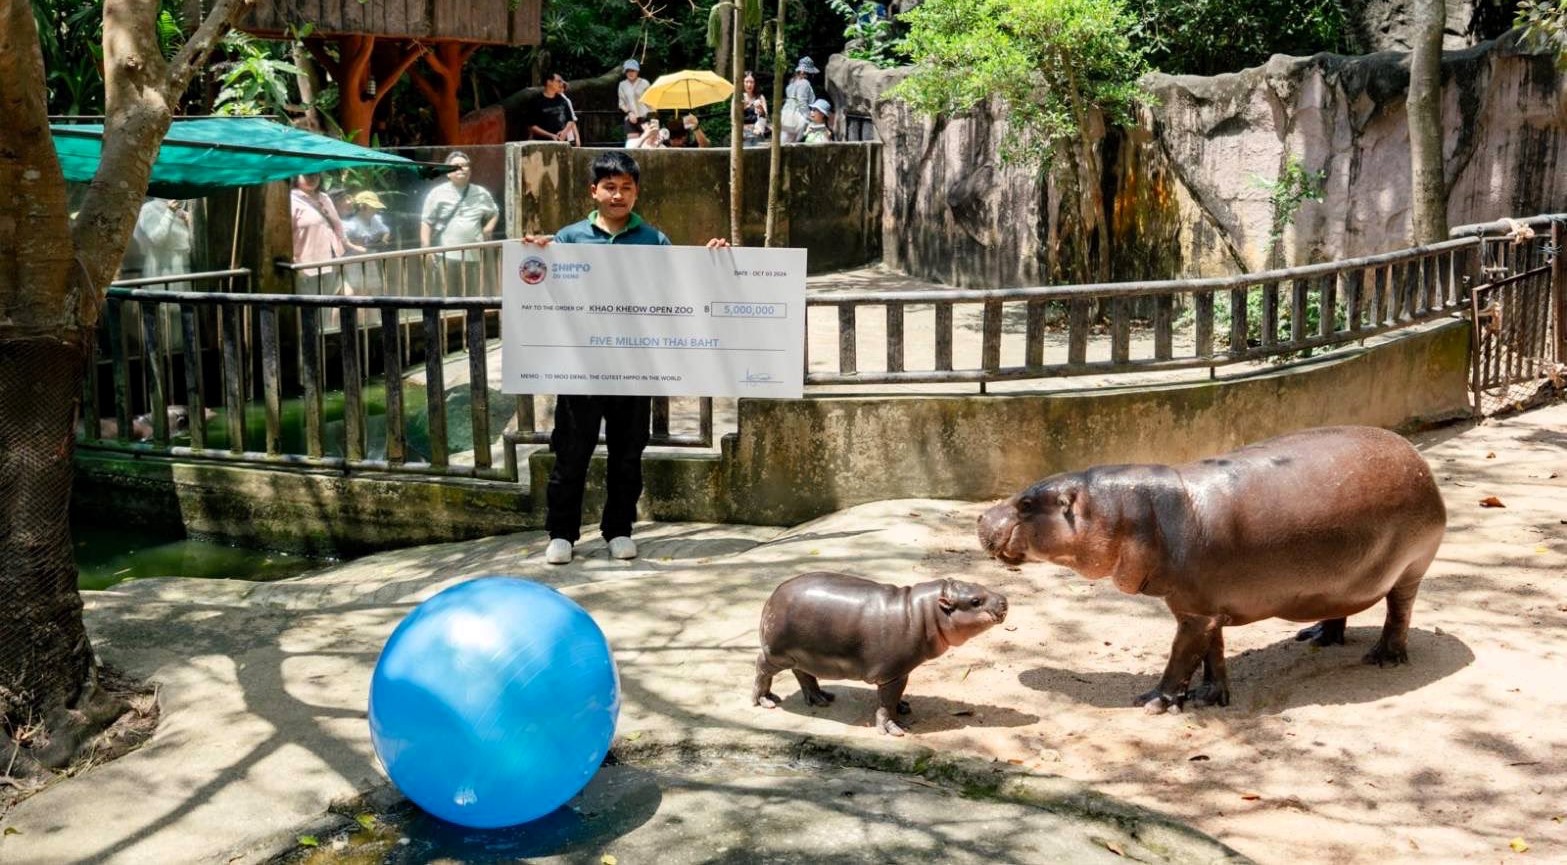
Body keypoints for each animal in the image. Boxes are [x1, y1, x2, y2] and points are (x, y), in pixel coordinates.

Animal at [752, 570, 1009, 733]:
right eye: (975, 601)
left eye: (980, 586)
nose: (1005, 600)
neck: (923, 613)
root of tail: (772, 596)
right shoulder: (892, 674)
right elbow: (886, 702)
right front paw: (894, 728)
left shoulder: (901, 672)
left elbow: (894, 698)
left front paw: (904, 707)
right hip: (776, 654)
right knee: (762, 667)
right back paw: (766, 701)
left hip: (803, 655)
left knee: (803, 673)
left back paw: (821, 699)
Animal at [977, 423, 1441, 711]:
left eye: (1026, 503)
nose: (980, 517)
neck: (1128, 513)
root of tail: (1416, 458)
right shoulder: (1205, 605)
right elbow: (1211, 655)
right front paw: (1208, 696)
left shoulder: (1196, 612)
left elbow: (1181, 656)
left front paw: (1152, 701)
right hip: (1340, 576)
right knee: (1339, 608)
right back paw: (1317, 636)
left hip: (1412, 568)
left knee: (1399, 611)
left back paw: (1383, 658)